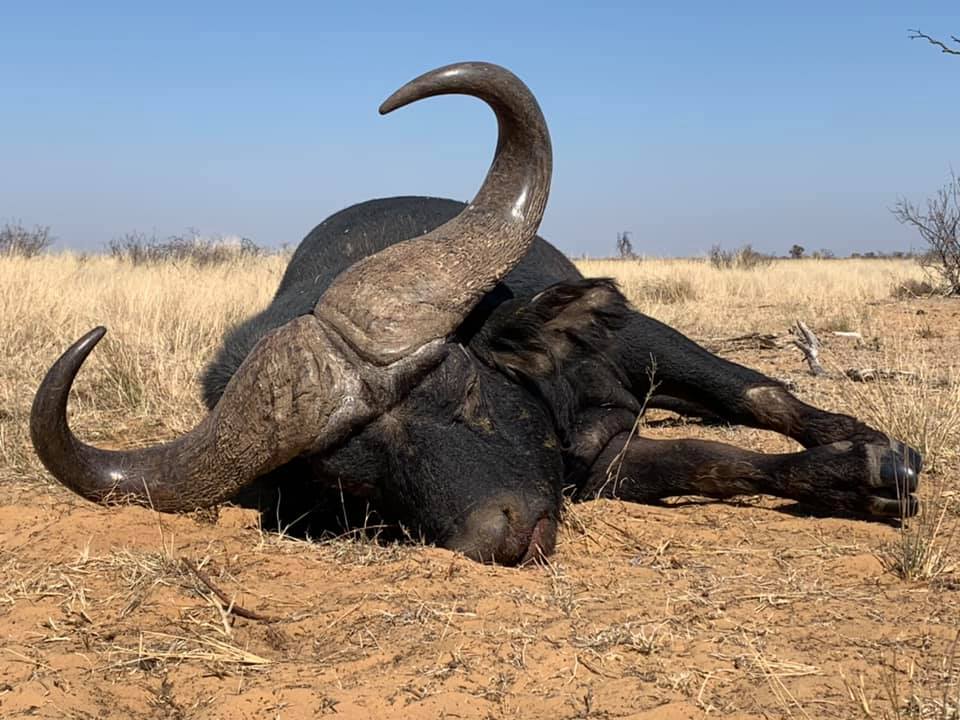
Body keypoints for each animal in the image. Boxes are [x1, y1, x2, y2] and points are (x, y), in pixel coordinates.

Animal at [31, 62, 922, 565]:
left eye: (460, 386)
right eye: (351, 483)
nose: (500, 535)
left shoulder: (637, 337)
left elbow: (759, 396)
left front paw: (874, 454)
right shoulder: (601, 465)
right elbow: (712, 460)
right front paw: (855, 476)